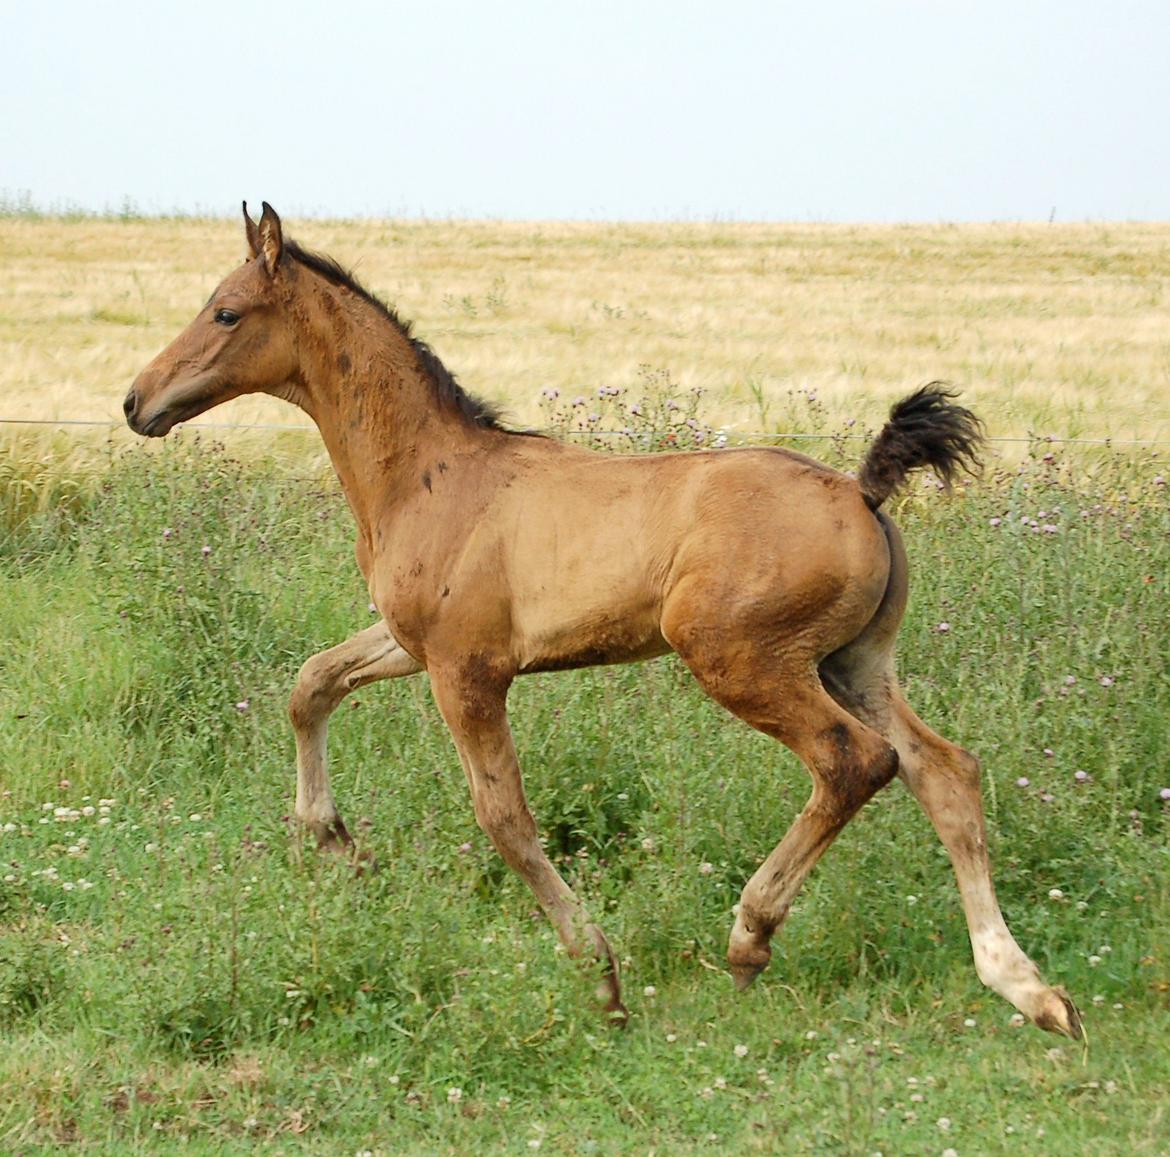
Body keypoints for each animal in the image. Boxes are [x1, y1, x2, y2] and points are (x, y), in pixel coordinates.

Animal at [123, 201, 1081, 1038]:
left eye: (225, 310)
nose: (138, 400)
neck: (436, 474)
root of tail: (861, 490)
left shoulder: (467, 669)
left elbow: (503, 815)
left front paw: (601, 974)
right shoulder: (411, 642)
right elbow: (311, 682)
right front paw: (333, 840)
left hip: (740, 658)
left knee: (855, 761)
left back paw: (750, 935)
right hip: (855, 660)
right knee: (944, 772)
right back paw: (1027, 987)